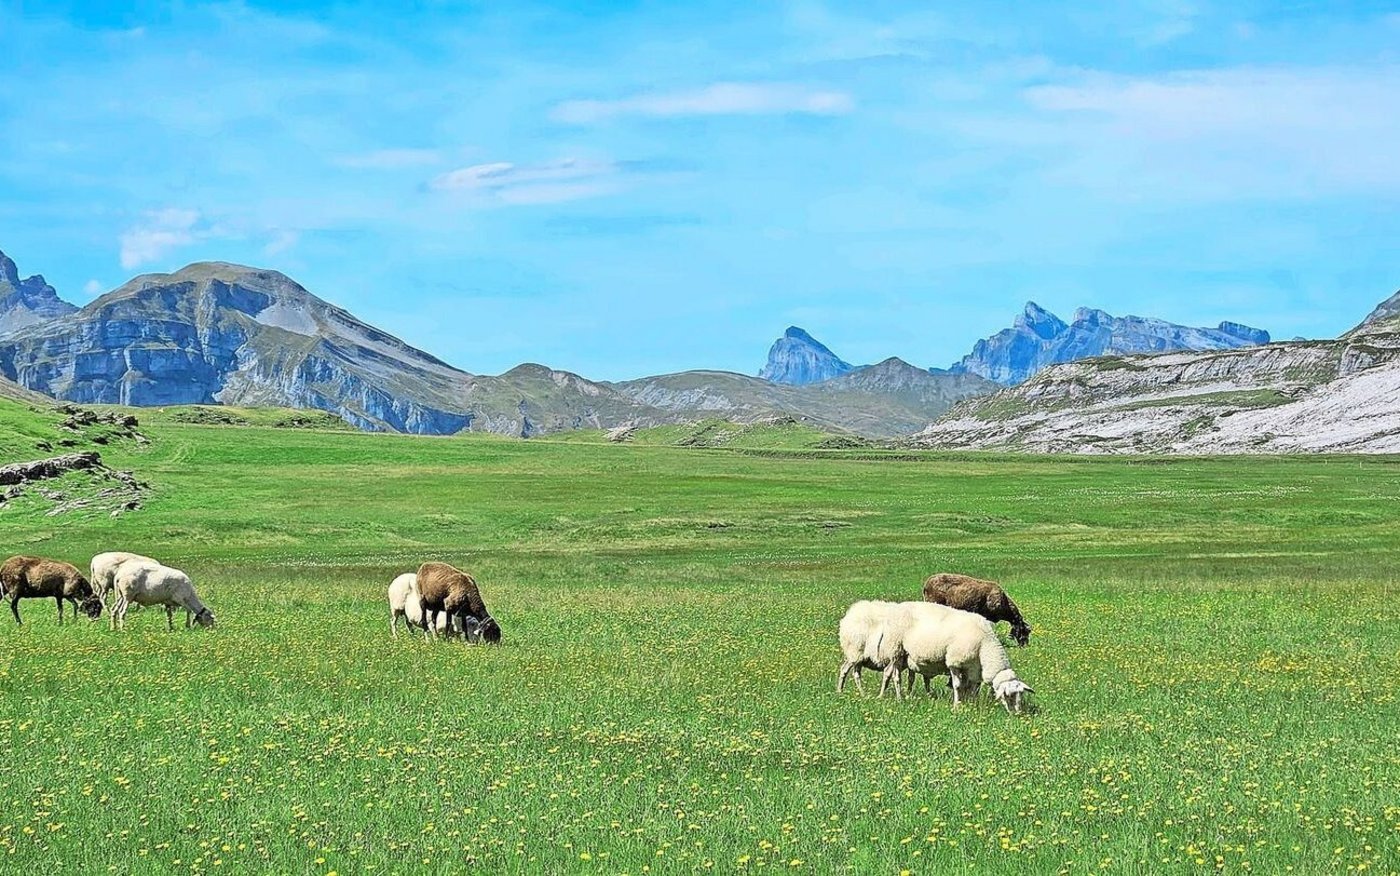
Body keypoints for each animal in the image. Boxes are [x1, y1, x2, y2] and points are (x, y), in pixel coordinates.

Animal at [886, 606, 1036, 714]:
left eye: (1021, 695)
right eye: (1009, 696)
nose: (1017, 714)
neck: (985, 645)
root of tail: (900, 607)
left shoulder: (974, 669)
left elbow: (972, 688)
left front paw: (971, 704)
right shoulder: (955, 663)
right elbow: (958, 686)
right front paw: (957, 706)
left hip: (908, 657)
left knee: (909, 677)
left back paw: (909, 695)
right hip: (897, 651)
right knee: (896, 677)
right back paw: (900, 699)